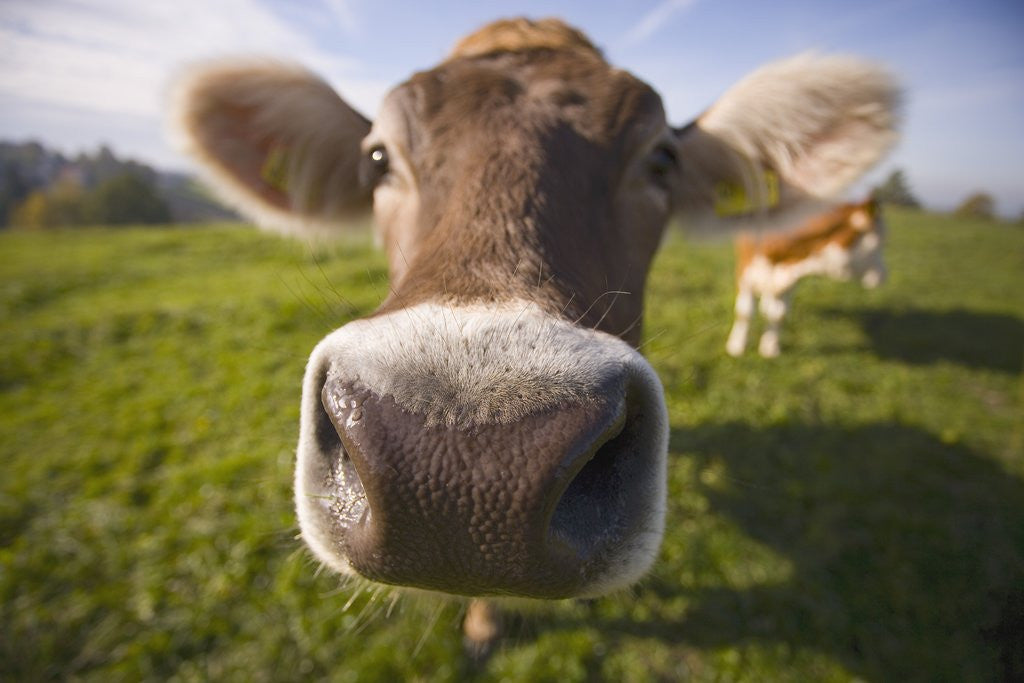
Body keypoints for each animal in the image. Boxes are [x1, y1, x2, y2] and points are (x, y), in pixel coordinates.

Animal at [725, 198, 887, 358]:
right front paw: (736, 347)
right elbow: (745, 313)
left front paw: (770, 348)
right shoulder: (745, 271)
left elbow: (778, 314)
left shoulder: (790, 278)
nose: (883, 275)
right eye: (879, 242)